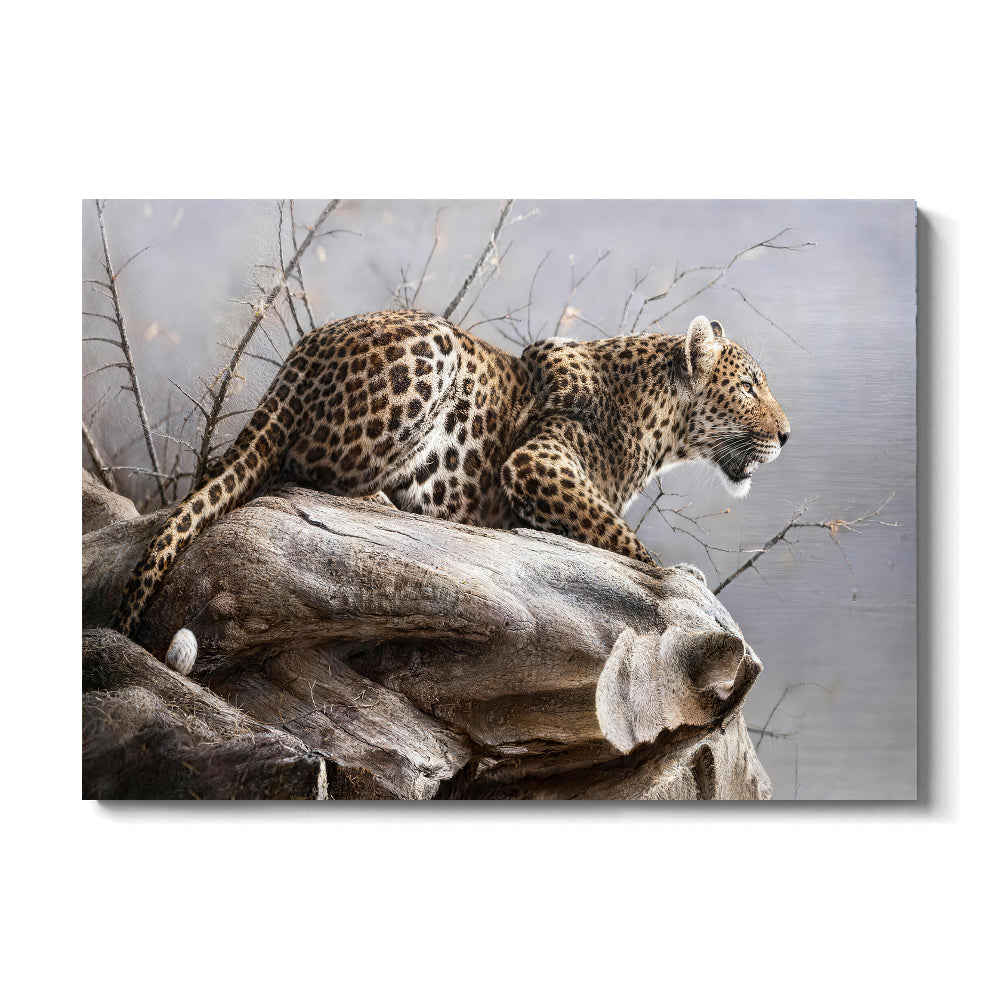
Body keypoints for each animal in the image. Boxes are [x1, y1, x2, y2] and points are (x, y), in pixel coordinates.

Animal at [111, 308, 790, 643]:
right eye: (749, 387)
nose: (786, 436)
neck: (659, 423)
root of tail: (298, 358)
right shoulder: (537, 462)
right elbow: (616, 533)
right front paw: (676, 578)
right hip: (433, 349)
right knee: (304, 470)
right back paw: (387, 501)